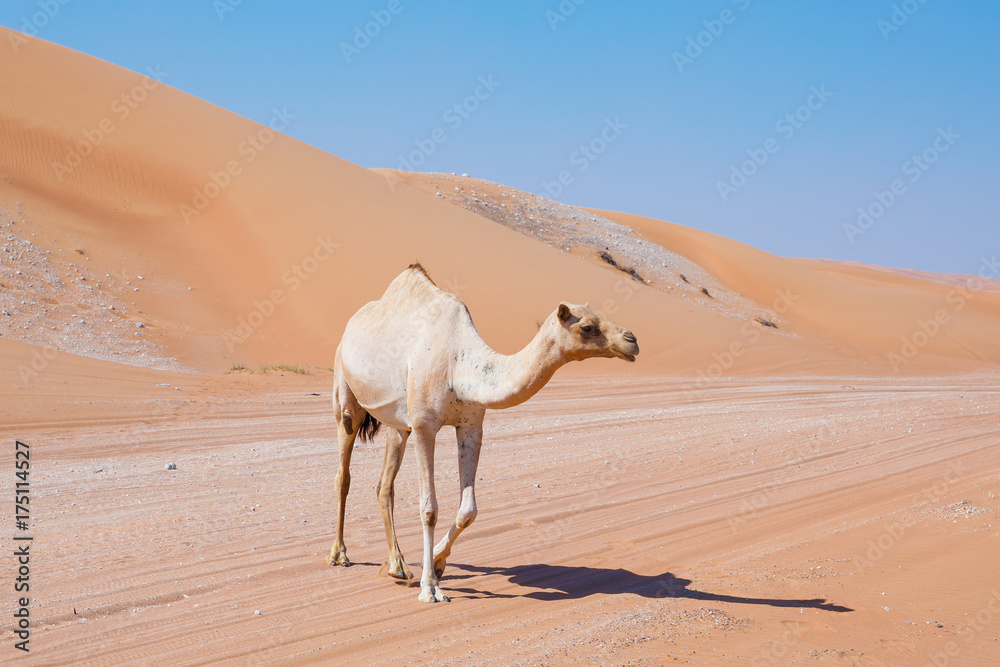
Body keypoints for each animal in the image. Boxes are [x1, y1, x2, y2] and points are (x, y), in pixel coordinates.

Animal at [325, 263, 639, 602]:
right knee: (343, 471)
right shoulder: (424, 425)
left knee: (384, 485)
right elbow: (429, 509)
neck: (459, 366)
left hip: (399, 425)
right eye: (587, 327)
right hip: (346, 394)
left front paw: (435, 562)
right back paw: (339, 554)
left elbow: (468, 511)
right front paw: (430, 588)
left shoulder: (471, 426)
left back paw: (398, 565)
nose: (632, 339)